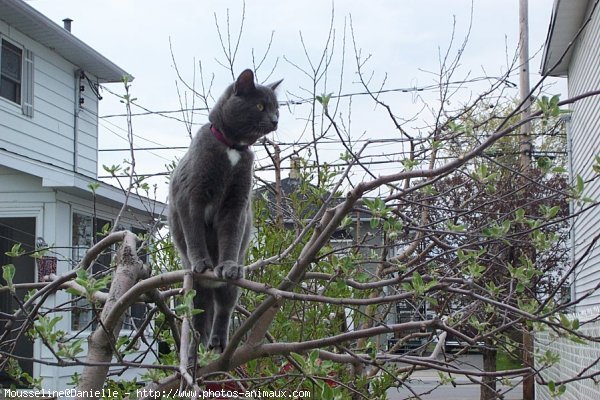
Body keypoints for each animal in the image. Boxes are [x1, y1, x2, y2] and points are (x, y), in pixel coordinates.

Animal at [169, 69, 282, 354]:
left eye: (277, 108)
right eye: (260, 106)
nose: (275, 120)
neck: (232, 149)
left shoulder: (236, 203)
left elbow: (230, 234)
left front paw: (227, 266)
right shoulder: (191, 196)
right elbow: (194, 231)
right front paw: (201, 262)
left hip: (230, 286)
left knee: (224, 306)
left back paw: (217, 342)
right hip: (194, 288)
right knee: (199, 311)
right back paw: (195, 345)